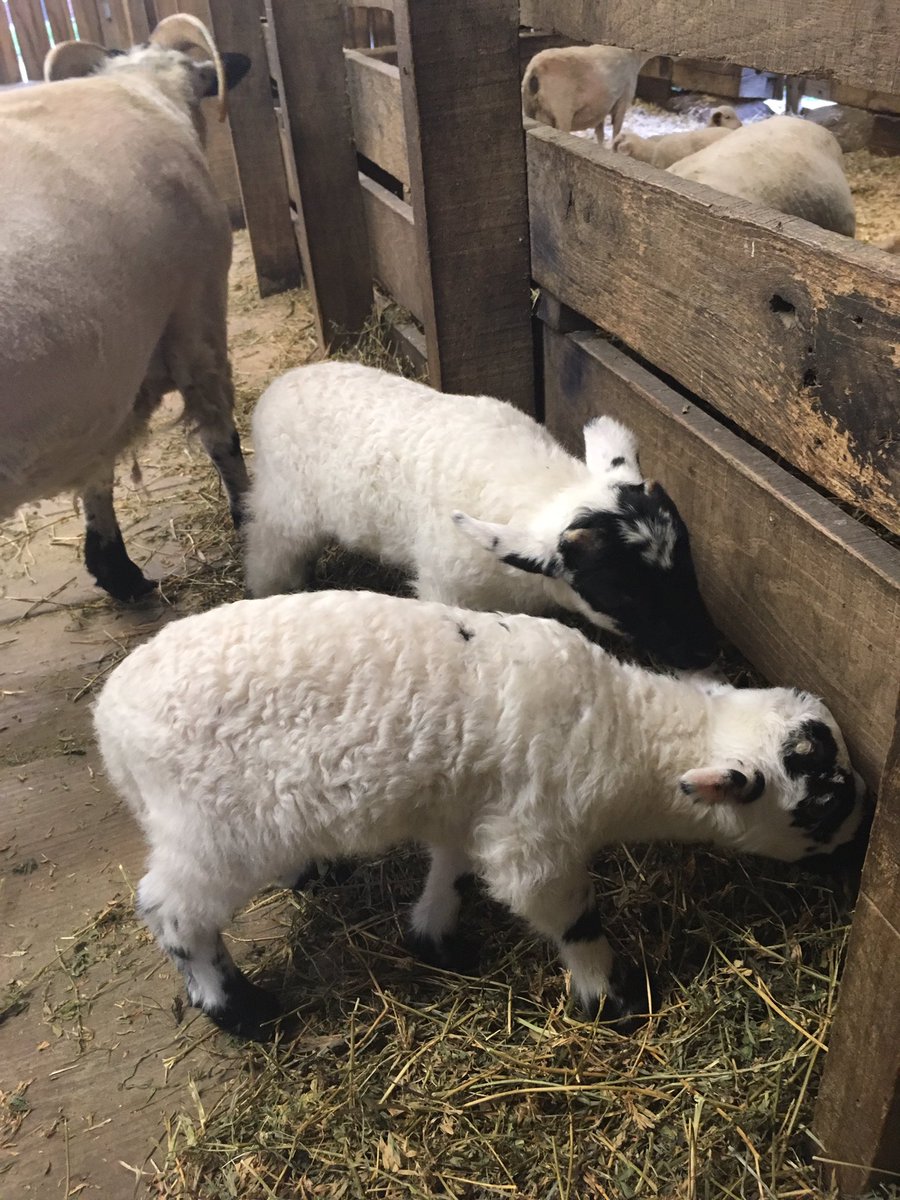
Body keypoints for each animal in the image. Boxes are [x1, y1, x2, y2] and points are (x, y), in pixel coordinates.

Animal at [0, 15, 252, 602]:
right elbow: (221, 438)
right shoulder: (194, 320)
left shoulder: (103, 377)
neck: (144, 91)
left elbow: (99, 463)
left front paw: (113, 567)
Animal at [93, 588, 870, 1040]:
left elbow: (455, 871)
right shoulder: (536, 837)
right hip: (212, 825)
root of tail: (110, 725)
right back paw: (238, 1008)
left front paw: (435, 936)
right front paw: (609, 998)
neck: (627, 732)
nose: (864, 829)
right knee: (171, 910)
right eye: (823, 800)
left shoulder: (473, 808)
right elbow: (567, 916)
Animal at [241, 361, 718, 671]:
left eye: (688, 563)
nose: (703, 652)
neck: (543, 486)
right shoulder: (444, 586)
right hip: (283, 508)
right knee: (268, 553)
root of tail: (277, 386)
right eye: (619, 593)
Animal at [522, 45, 651, 143]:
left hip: (531, 109)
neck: (634, 55)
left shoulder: (601, 108)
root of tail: (535, 70)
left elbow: (600, 134)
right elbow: (616, 132)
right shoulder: (623, 100)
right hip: (561, 112)